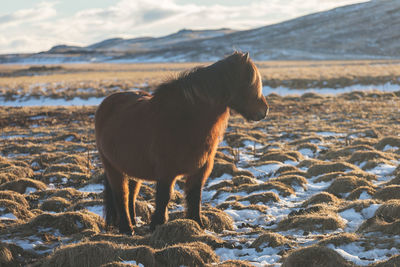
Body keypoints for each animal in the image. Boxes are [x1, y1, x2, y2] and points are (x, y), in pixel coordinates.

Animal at [94, 51, 268, 234]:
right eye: (249, 82)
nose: (264, 110)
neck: (185, 119)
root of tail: (107, 103)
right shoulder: (166, 172)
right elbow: (164, 198)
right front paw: (157, 225)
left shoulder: (200, 170)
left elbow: (194, 197)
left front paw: (197, 224)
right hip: (113, 167)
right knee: (121, 194)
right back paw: (127, 228)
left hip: (132, 167)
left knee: (131, 194)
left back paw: (134, 222)